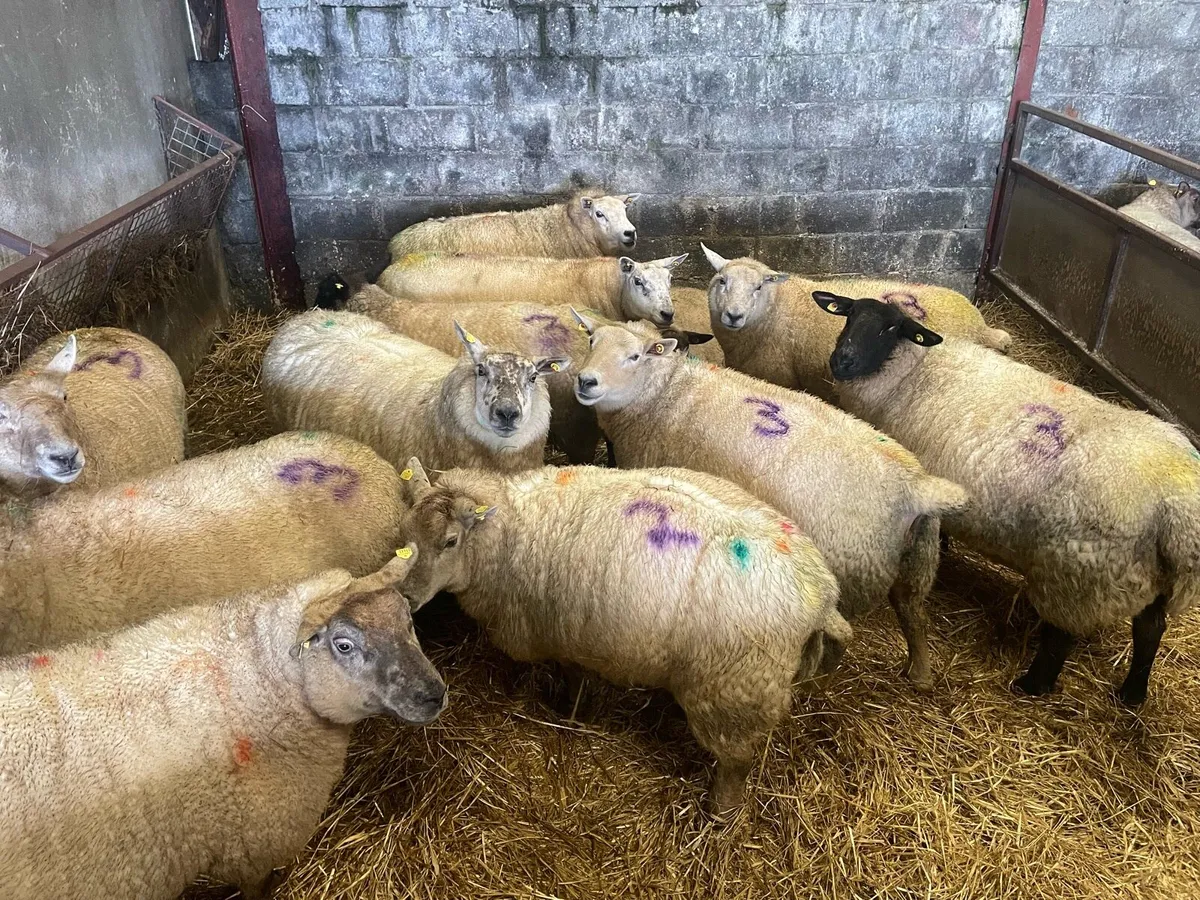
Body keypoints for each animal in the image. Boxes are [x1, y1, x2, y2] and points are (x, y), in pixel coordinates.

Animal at [392, 457, 849, 813]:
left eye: (450, 540)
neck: (511, 531)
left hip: (733, 691)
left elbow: (572, 679)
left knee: (736, 763)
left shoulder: (559, 634)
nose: (406, 597)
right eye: (406, 536)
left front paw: (568, 712)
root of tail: (821, 594)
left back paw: (721, 814)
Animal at [572, 314, 968, 688]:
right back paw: (920, 675)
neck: (665, 390)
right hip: (919, 559)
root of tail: (916, 488)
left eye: (635, 356)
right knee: (913, 613)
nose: (585, 381)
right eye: (591, 341)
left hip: (850, 568)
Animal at [816, 290, 1200, 706]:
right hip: (1149, 576)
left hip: (1078, 574)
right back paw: (1131, 694)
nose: (841, 362)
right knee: (1150, 631)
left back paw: (1032, 685)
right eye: (849, 315)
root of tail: (1178, 505)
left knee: (1060, 639)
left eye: (890, 328)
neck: (913, 368)